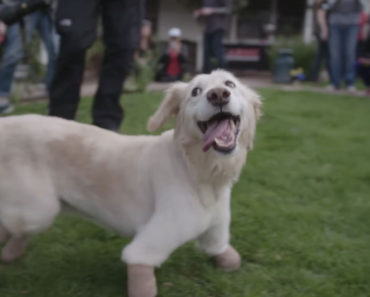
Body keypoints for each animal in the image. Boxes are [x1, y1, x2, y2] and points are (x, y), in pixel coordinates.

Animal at [0, 70, 260, 296]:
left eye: (230, 84)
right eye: (196, 91)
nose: (219, 95)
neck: (201, 172)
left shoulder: (216, 223)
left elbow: (218, 245)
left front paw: (227, 258)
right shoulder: (161, 229)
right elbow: (140, 265)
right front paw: (142, 288)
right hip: (38, 209)